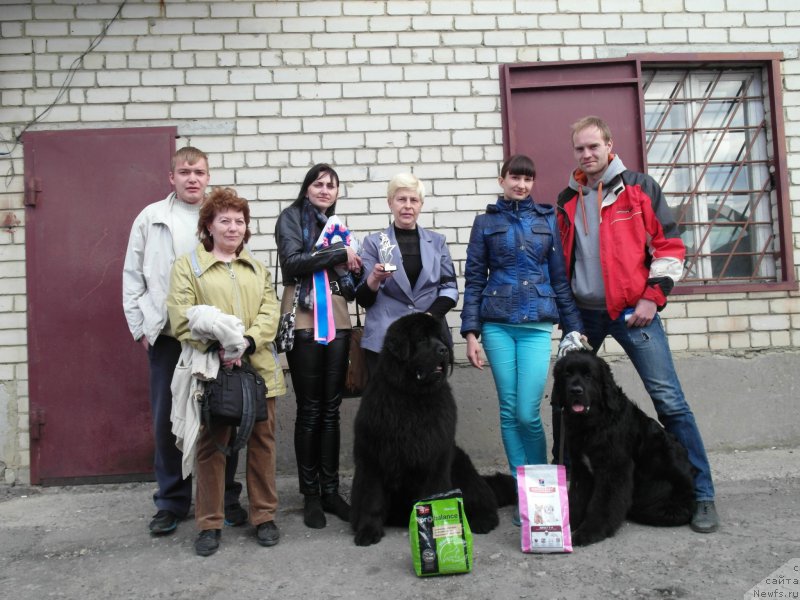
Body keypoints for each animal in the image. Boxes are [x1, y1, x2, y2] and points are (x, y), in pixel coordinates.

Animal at [352, 312, 516, 548]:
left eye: (440, 338)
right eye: (421, 339)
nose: (444, 350)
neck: (413, 397)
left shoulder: (436, 455)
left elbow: (434, 494)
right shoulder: (372, 456)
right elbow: (371, 497)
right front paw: (367, 530)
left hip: (460, 465)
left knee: (484, 500)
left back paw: (482, 520)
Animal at [552, 350, 696, 548]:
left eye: (589, 376)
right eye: (567, 374)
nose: (576, 390)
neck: (594, 423)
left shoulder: (614, 468)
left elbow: (603, 503)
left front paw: (589, 532)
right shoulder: (581, 468)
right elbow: (576, 498)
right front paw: (568, 524)